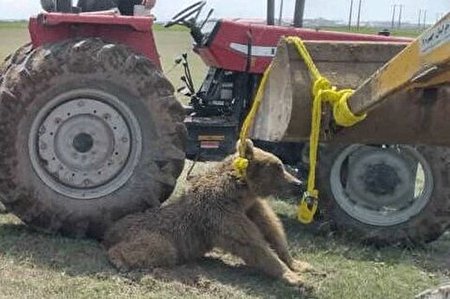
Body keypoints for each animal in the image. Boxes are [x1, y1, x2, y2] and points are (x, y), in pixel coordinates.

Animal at [103, 141, 312, 288]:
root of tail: (110, 229)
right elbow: (253, 244)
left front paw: (299, 264)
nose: (298, 183)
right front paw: (294, 278)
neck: (240, 193)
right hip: (152, 234)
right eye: (278, 166)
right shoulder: (221, 213)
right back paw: (119, 260)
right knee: (159, 250)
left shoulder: (251, 208)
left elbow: (273, 231)